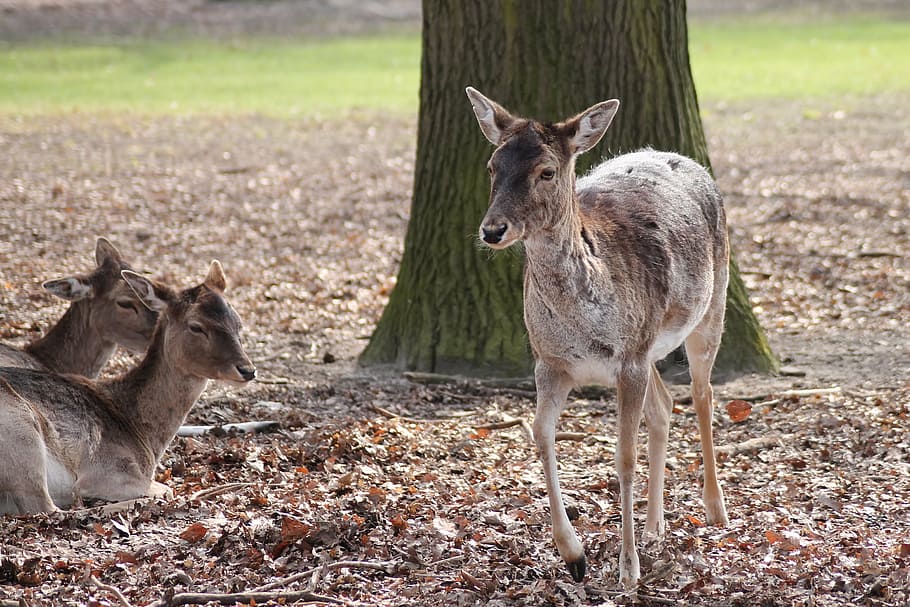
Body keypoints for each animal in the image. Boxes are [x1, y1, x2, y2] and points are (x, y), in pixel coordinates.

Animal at [0, 261, 255, 514]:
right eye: (196, 326)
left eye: (238, 323)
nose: (247, 369)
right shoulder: (106, 469)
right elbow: (166, 489)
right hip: (22, 431)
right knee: (47, 507)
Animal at [465, 87, 730, 587]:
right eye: (491, 165)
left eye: (547, 171)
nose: (491, 230)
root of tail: (687, 160)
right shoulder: (550, 362)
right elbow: (540, 434)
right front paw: (574, 555)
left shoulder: (628, 359)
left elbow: (623, 456)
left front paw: (628, 570)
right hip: (650, 346)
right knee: (664, 406)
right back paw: (655, 527)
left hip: (711, 306)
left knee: (702, 395)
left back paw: (715, 510)